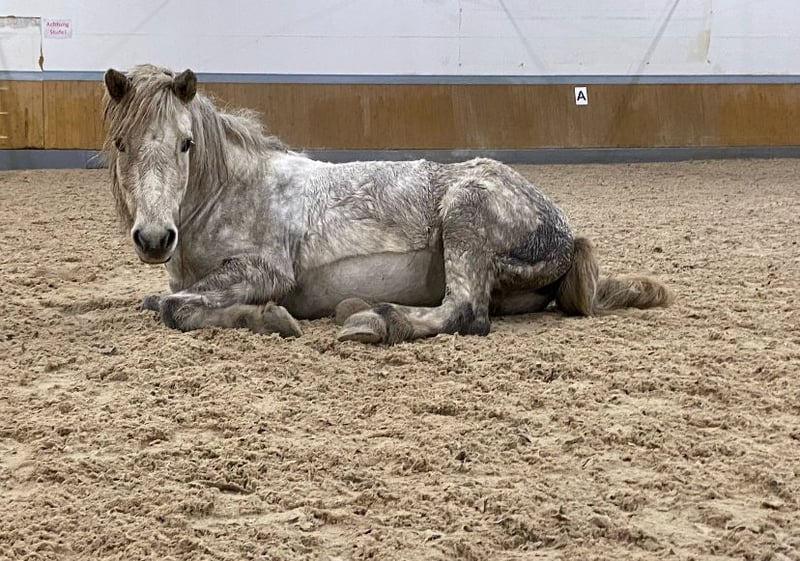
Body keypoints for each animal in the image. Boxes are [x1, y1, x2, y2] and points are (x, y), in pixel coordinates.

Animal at [102, 64, 674, 345]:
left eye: (186, 143)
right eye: (122, 144)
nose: (154, 238)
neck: (231, 192)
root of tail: (564, 234)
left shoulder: (263, 271)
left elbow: (174, 309)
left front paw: (271, 320)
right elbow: (161, 301)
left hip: (465, 216)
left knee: (466, 313)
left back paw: (374, 322)